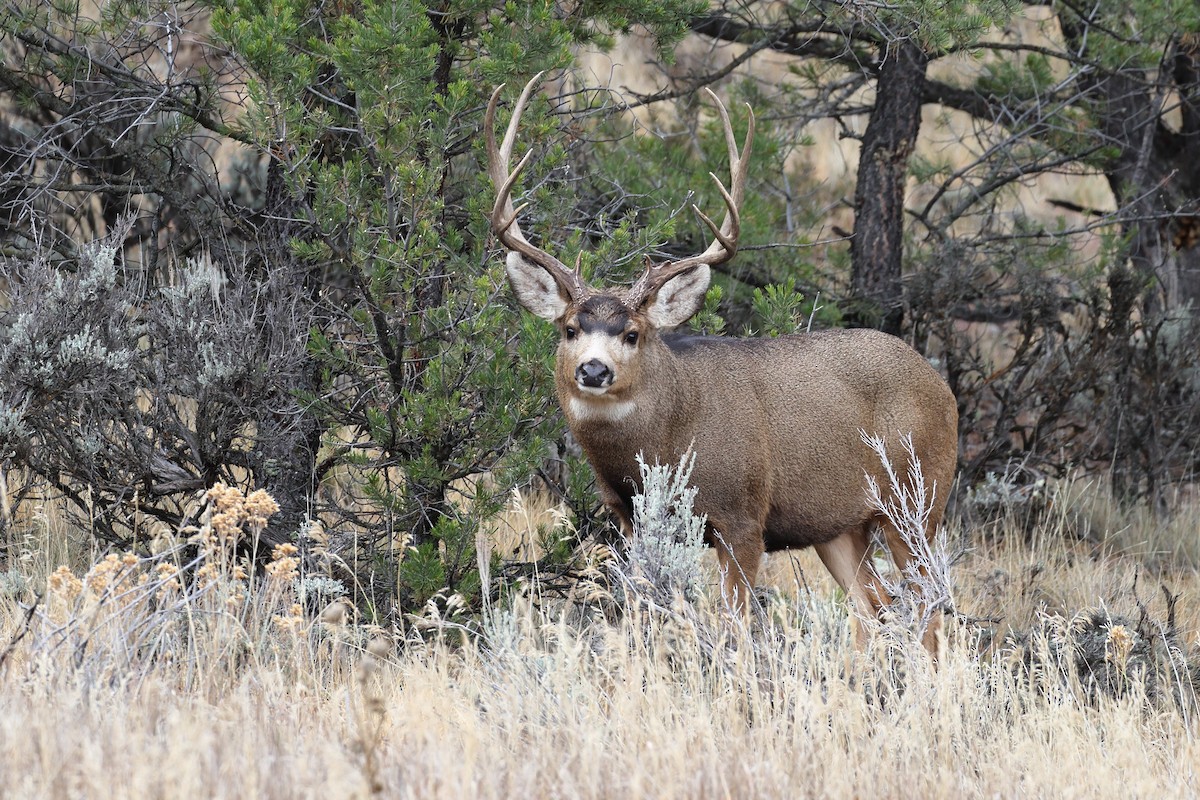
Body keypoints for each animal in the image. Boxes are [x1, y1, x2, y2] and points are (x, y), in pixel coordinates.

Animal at [485, 76, 959, 654]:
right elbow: (646, 613)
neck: (669, 436)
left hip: (918, 500)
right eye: (570, 329)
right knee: (876, 609)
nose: (593, 371)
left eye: (633, 334)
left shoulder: (743, 517)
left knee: (927, 610)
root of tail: (942, 387)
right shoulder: (629, 520)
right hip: (841, 527)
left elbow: (735, 624)